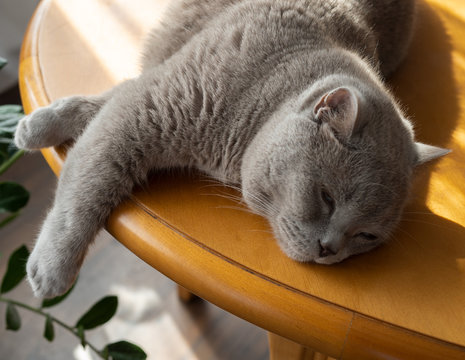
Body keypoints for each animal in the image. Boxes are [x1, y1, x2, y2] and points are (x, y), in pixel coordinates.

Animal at [16, 0, 448, 298]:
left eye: (366, 236)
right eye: (327, 197)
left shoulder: (148, 99)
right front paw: (52, 269)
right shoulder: (154, 104)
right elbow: (88, 182)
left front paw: (39, 125)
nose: (329, 249)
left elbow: (100, 126)